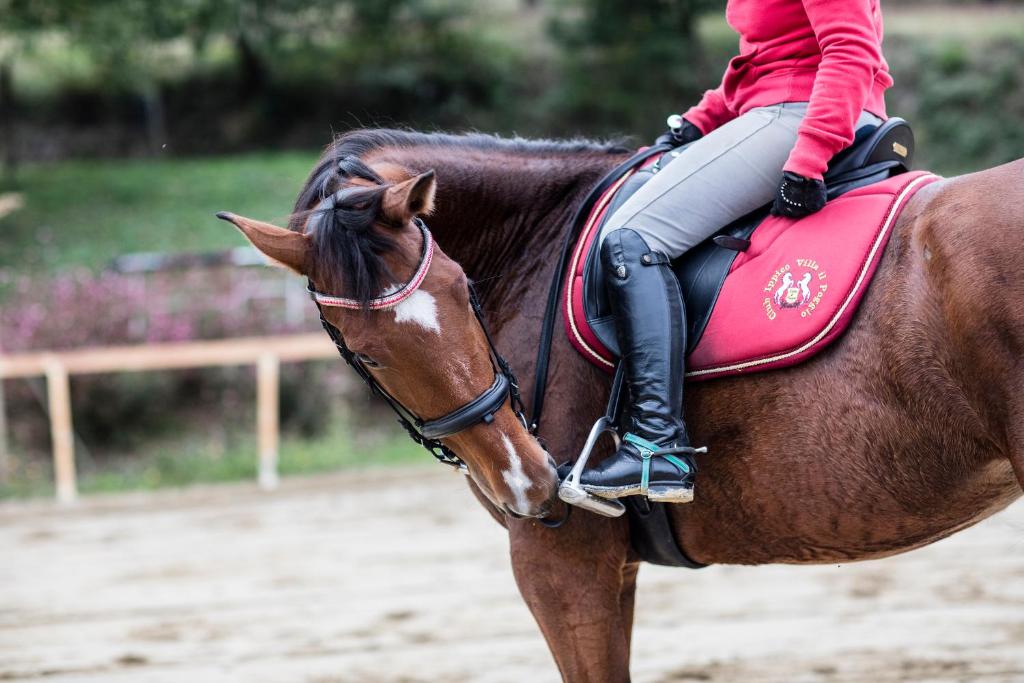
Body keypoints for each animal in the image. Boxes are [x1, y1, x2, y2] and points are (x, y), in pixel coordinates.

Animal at [219, 129, 1024, 682]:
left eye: (459, 287)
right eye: (370, 351)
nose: (529, 481)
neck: (541, 243)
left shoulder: (560, 558)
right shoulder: (609, 567)